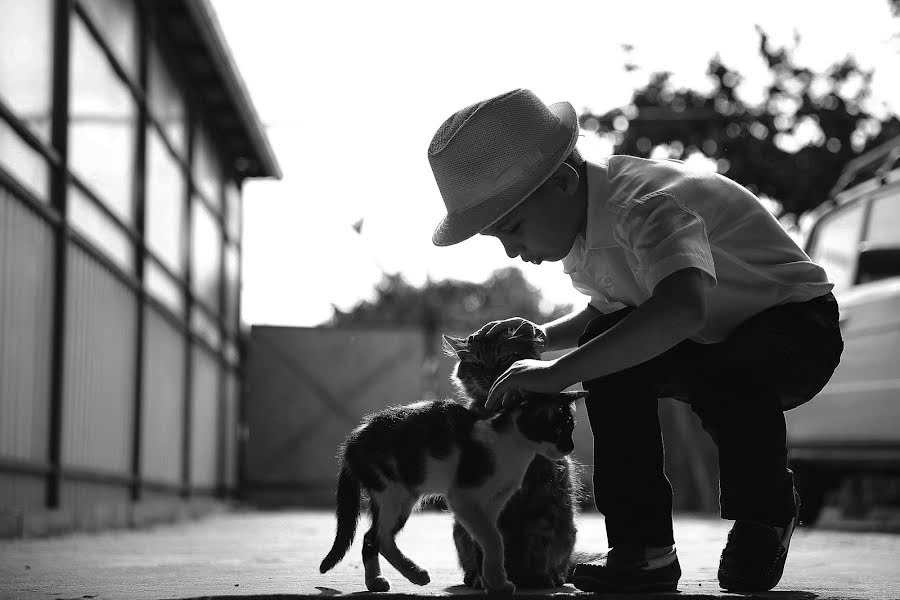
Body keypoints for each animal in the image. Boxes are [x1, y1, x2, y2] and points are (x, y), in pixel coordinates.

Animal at [316, 392, 584, 592]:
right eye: (560, 430)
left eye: (572, 429)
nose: (570, 447)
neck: (513, 448)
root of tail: (352, 440)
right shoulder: (463, 497)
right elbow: (494, 539)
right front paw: (494, 582)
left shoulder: (493, 503)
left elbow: (486, 539)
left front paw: (492, 581)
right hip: (392, 491)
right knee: (380, 537)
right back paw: (416, 573)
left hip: (399, 497)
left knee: (371, 537)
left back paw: (377, 581)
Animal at [442, 326, 584, 588]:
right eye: (476, 363)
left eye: (503, 358)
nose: (489, 376)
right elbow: (486, 546)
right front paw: (486, 579)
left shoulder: (544, 498)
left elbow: (539, 545)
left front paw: (539, 578)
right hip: (459, 528)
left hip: (567, 527)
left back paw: (553, 575)